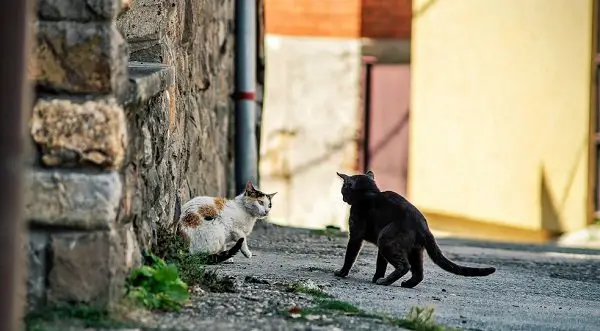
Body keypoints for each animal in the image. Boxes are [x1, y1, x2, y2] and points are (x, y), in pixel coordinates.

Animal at [332, 171, 496, 288]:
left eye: (343, 189)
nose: (342, 198)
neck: (368, 192)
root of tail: (423, 226)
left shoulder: (355, 235)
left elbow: (350, 256)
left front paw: (342, 273)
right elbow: (381, 264)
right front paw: (377, 277)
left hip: (386, 239)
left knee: (405, 266)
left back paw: (385, 282)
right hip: (414, 250)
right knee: (418, 273)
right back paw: (405, 284)